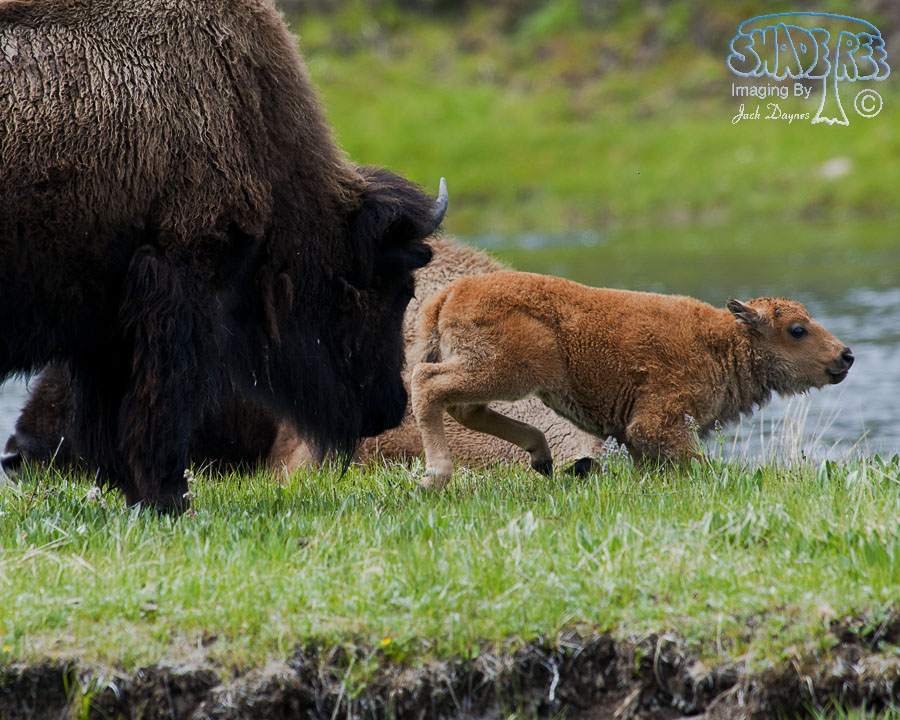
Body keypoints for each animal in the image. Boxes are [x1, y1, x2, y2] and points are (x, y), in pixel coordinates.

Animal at [0, 0, 446, 511]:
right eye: (395, 286)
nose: (389, 408)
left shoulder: (106, 327)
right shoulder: (181, 286)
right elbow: (163, 401)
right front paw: (171, 496)